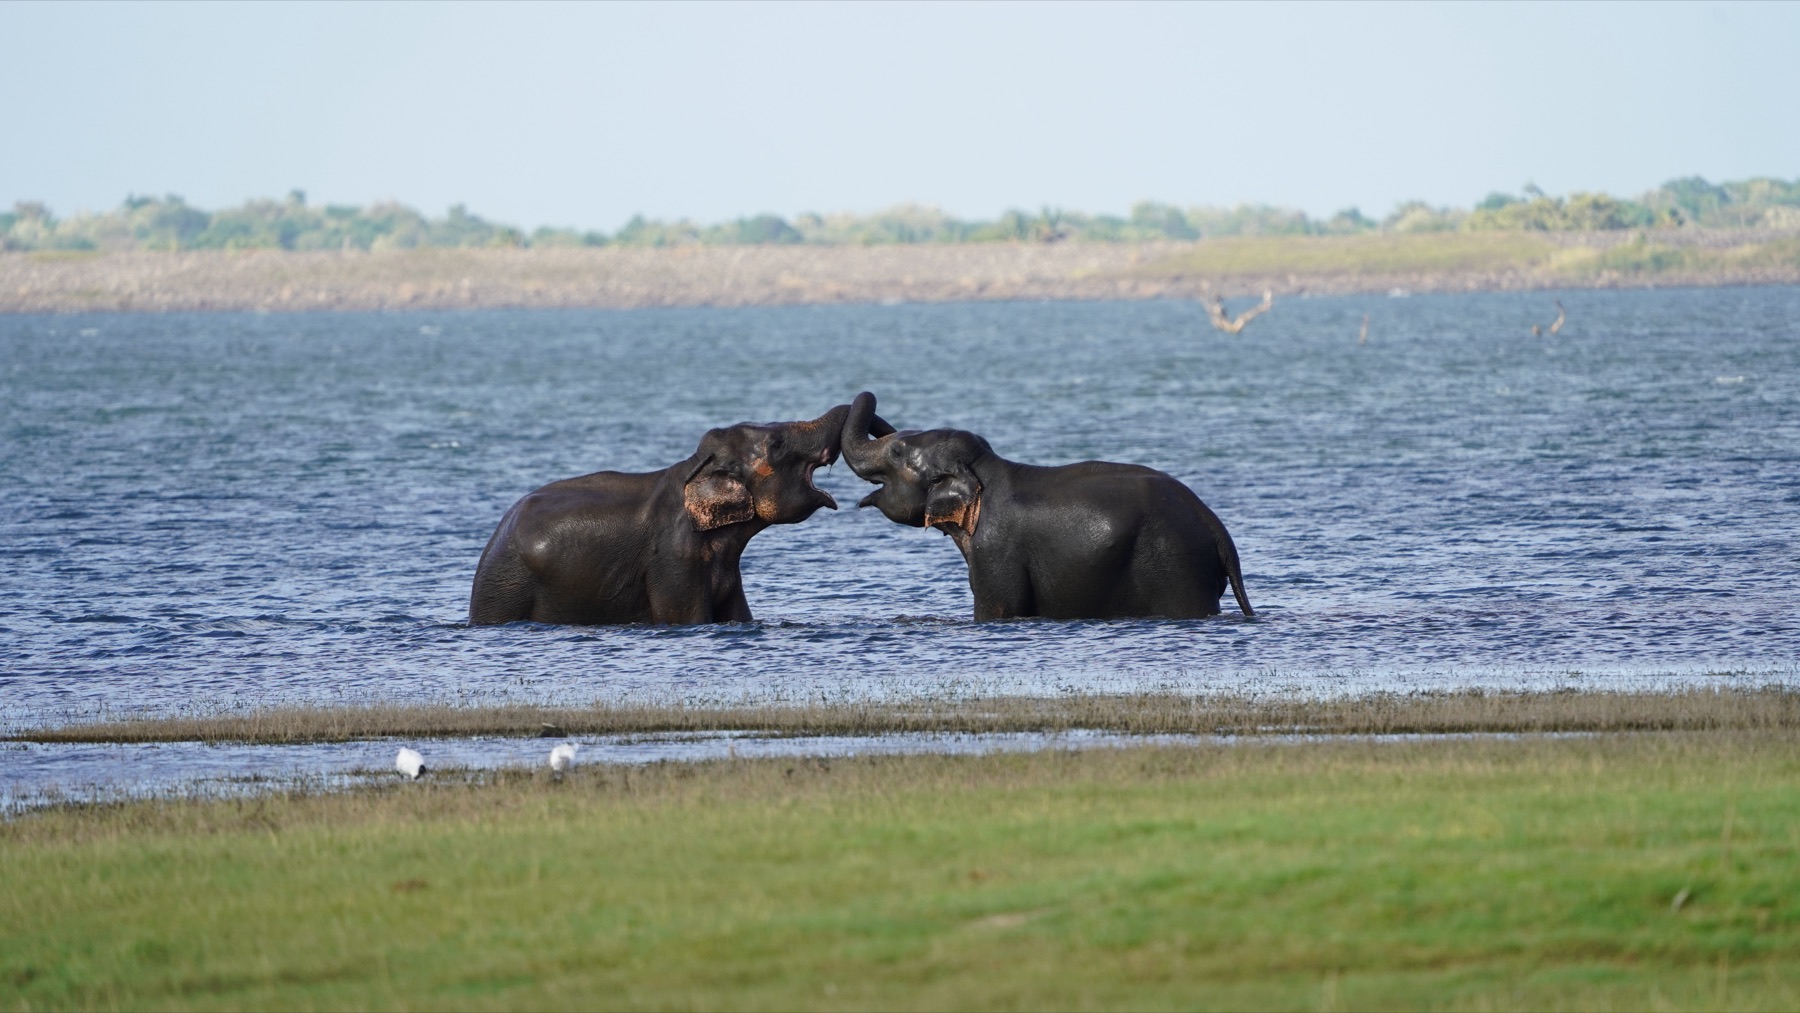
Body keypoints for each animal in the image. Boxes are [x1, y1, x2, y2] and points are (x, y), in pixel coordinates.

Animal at [838, 391, 1253, 621]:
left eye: (897, 451)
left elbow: (998, 608)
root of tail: (1216, 528)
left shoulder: (995, 550)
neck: (986, 471)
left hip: (1178, 568)